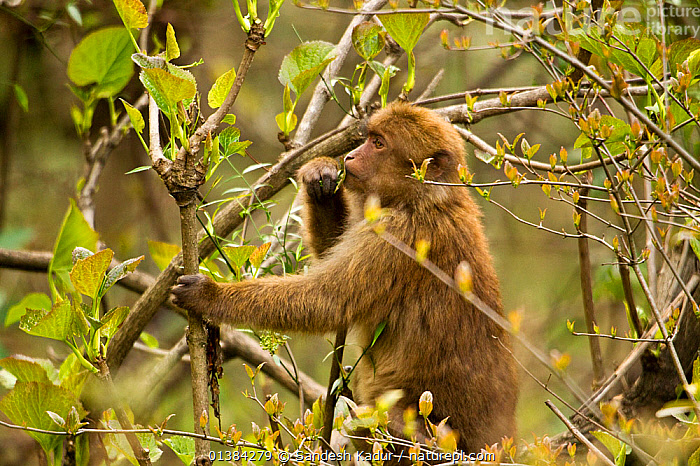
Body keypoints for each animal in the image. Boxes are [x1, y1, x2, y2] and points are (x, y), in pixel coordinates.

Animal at [172, 101, 518, 454]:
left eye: (378, 144)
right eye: (370, 138)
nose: (350, 157)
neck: (423, 197)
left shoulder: (399, 236)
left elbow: (329, 301)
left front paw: (210, 296)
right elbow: (331, 255)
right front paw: (319, 180)